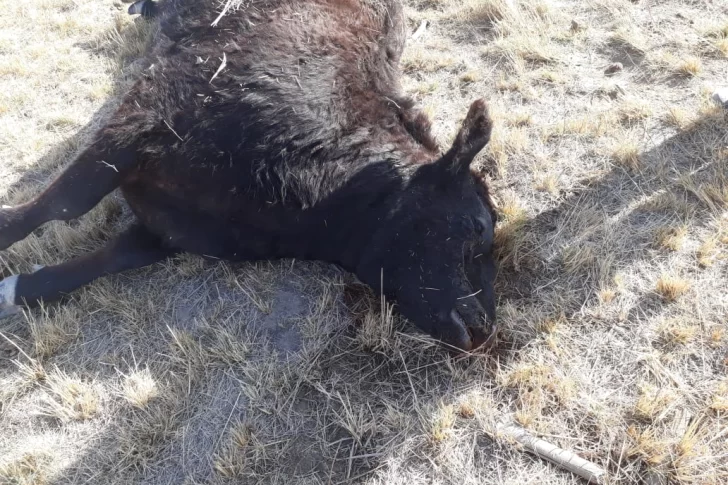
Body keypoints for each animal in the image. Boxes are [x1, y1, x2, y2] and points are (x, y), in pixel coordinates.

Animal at [0, 0, 500, 352]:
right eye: (476, 227)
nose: (483, 328)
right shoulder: (142, 117)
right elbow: (64, 202)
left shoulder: (168, 229)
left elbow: (108, 258)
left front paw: (19, 288)